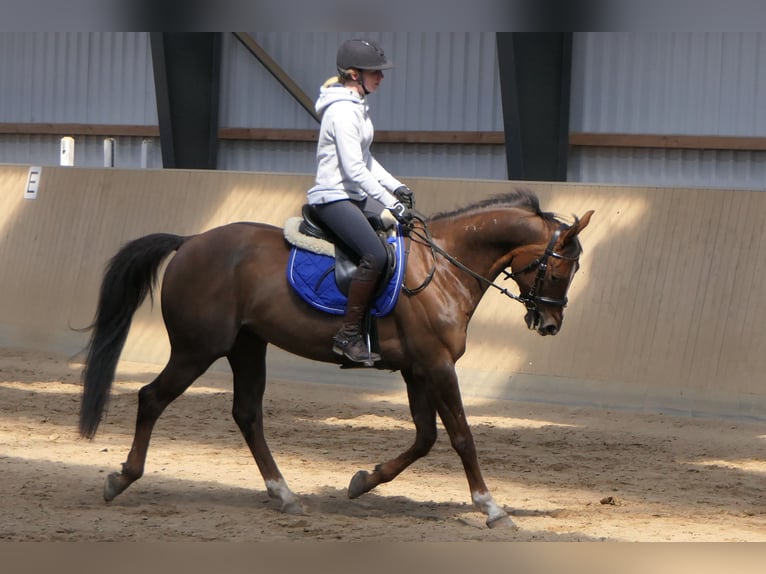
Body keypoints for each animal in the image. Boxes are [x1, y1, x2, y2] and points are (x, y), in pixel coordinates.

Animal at [78, 189, 593, 529]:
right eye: (560, 269)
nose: (549, 324)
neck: (444, 267)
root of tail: (189, 241)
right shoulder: (437, 366)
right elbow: (462, 437)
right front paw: (491, 507)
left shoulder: (416, 369)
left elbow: (425, 438)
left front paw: (363, 481)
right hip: (197, 348)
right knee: (151, 398)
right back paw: (122, 479)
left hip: (247, 346)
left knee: (247, 414)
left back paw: (284, 495)